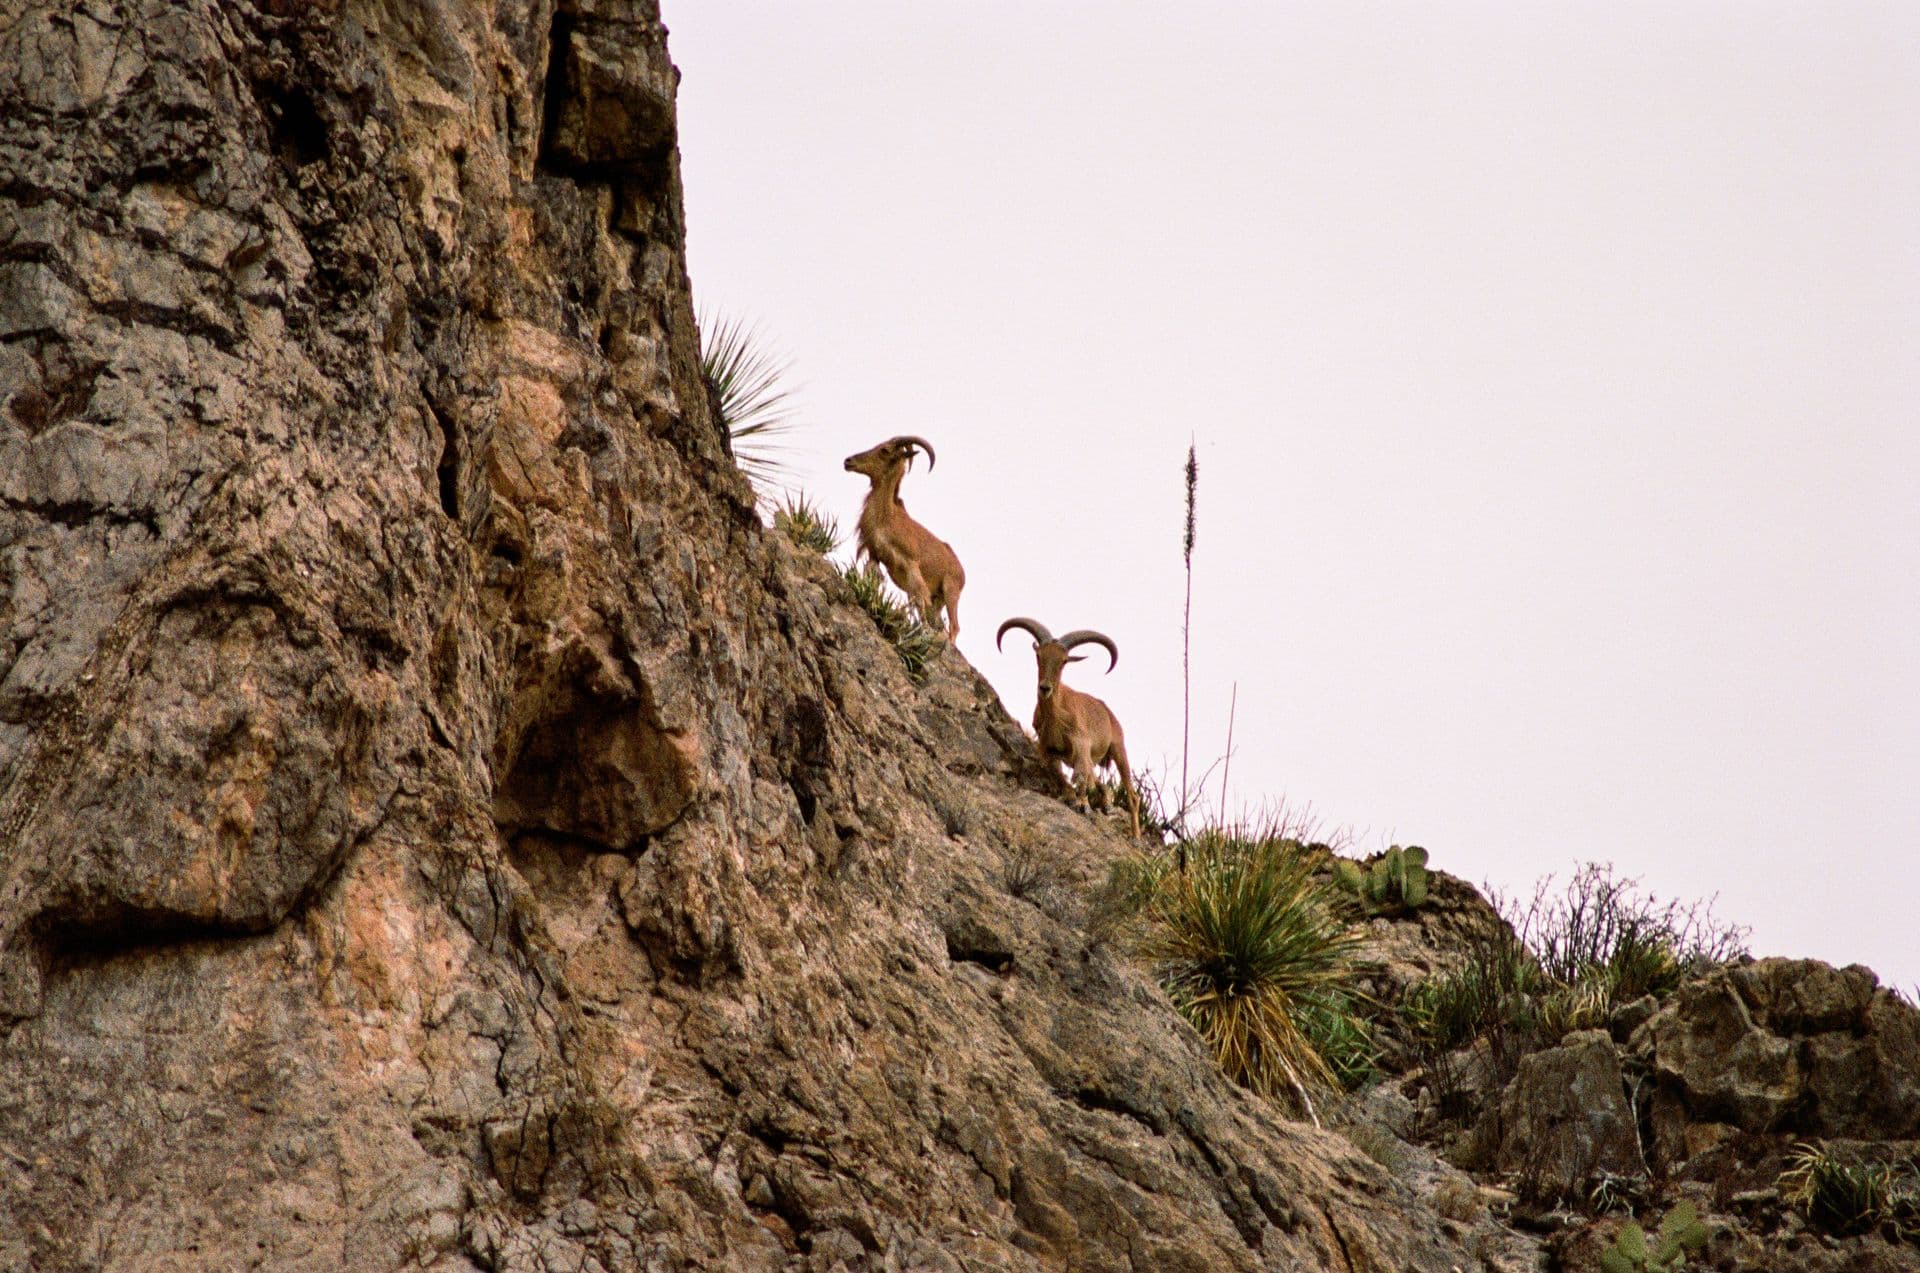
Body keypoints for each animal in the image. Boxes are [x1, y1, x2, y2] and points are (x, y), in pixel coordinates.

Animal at [844, 435, 965, 638]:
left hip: (951, 590)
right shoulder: (875, 555)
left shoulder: (911, 563)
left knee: (954, 626)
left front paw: (923, 631)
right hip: (938, 599)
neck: (887, 518)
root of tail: (962, 571)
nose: (848, 461)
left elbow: (919, 599)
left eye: (884, 450)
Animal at [996, 617, 1140, 837]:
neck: (1056, 716)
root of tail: (1107, 711)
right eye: (1039, 655)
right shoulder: (1048, 748)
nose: (1045, 688)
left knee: (1132, 795)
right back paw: (1106, 805)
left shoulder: (1081, 743)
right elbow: (1059, 774)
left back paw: (1136, 835)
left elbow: (1080, 776)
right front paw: (1072, 798)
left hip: (1118, 747)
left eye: (1064, 661)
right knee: (1100, 783)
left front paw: (1082, 804)